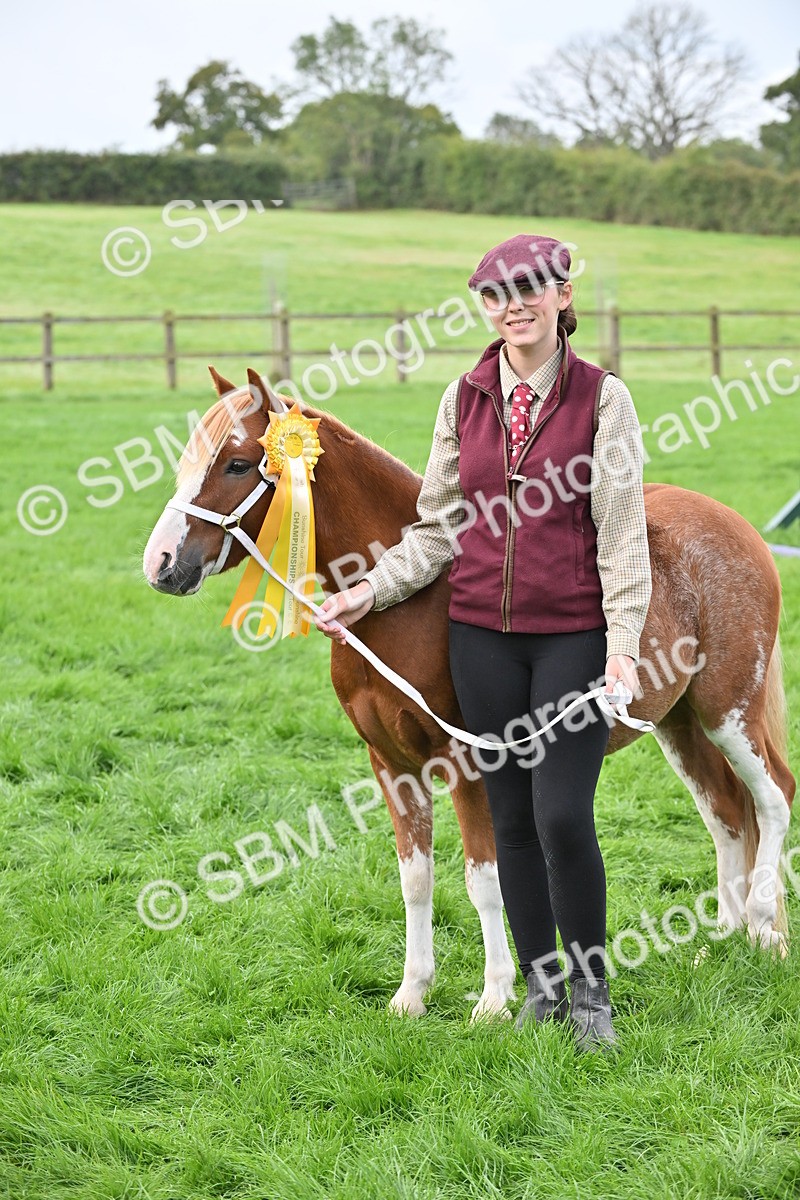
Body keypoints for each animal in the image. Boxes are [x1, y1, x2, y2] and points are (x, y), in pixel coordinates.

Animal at [143, 367, 796, 1020]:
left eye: (236, 463)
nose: (161, 564)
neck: (408, 606)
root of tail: (737, 527)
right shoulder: (392, 766)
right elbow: (416, 880)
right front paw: (412, 993)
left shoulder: (469, 764)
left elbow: (484, 879)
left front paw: (495, 999)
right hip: (678, 723)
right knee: (726, 811)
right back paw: (721, 940)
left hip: (729, 712)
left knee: (773, 798)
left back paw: (764, 931)